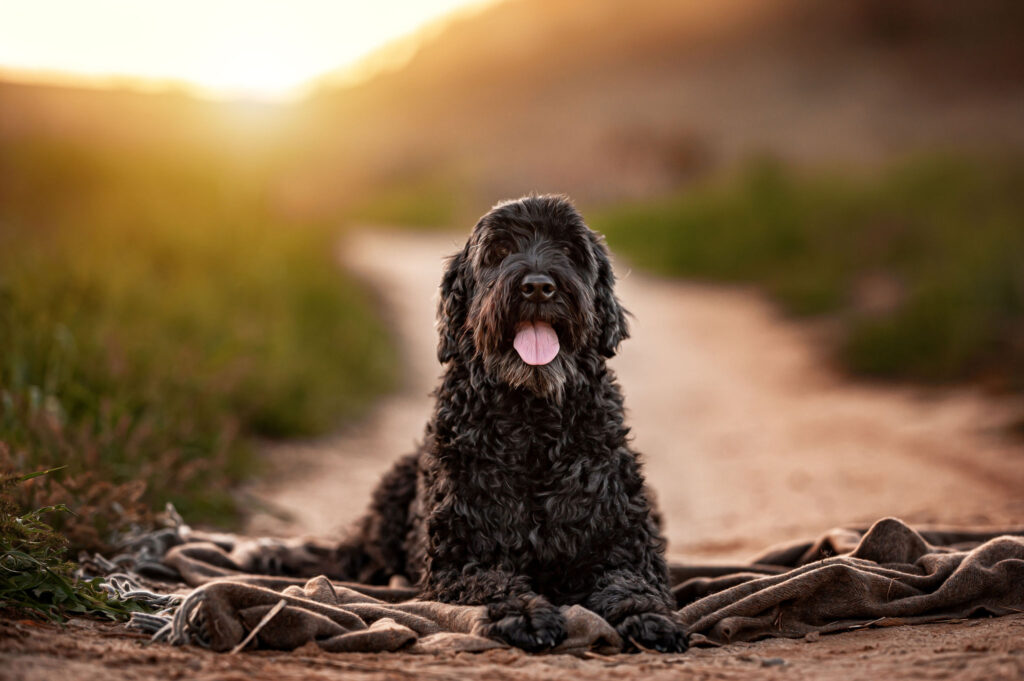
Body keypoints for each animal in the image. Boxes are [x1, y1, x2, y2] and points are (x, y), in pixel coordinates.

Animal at [339, 193, 684, 651]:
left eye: (569, 250)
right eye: (499, 252)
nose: (538, 286)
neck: (534, 423)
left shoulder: (626, 546)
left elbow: (632, 583)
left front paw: (649, 618)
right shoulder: (460, 558)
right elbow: (495, 584)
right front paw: (526, 614)